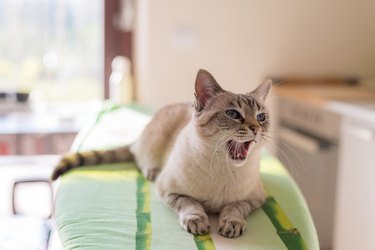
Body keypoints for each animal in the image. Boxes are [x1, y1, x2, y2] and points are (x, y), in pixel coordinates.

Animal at [51, 70, 272, 238]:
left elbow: (234, 208)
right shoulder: (169, 191)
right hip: (152, 147)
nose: (255, 129)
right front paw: (197, 221)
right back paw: (151, 170)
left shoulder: (255, 199)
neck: (224, 168)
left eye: (261, 117)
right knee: (139, 158)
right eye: (233, 114)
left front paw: (231, 224)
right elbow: (190, 204)